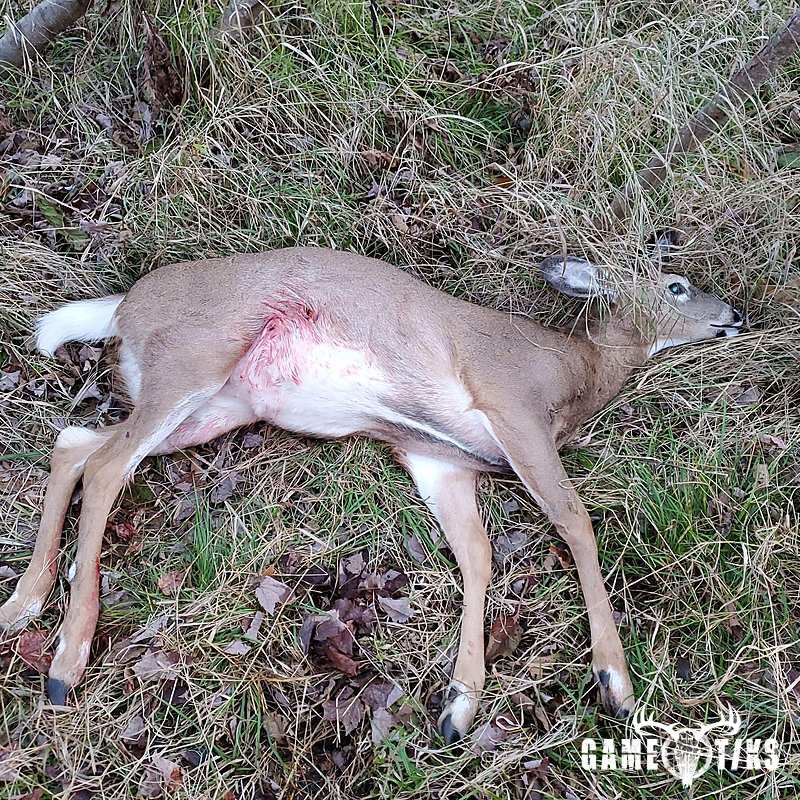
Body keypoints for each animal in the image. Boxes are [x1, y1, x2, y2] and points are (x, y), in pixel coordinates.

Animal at [0, 243, 742, 743]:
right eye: (677, 285)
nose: (733, 314)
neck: (573, 373)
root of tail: (123, 305)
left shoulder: (440, 459)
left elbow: (478, 556)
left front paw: (458, 703)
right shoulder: (513, 407)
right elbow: (576, 521)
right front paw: (616, 683)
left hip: (219, 407)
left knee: (75, 442)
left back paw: (23, 604)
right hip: (193, 359)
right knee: (105, 467)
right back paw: (66, 658)